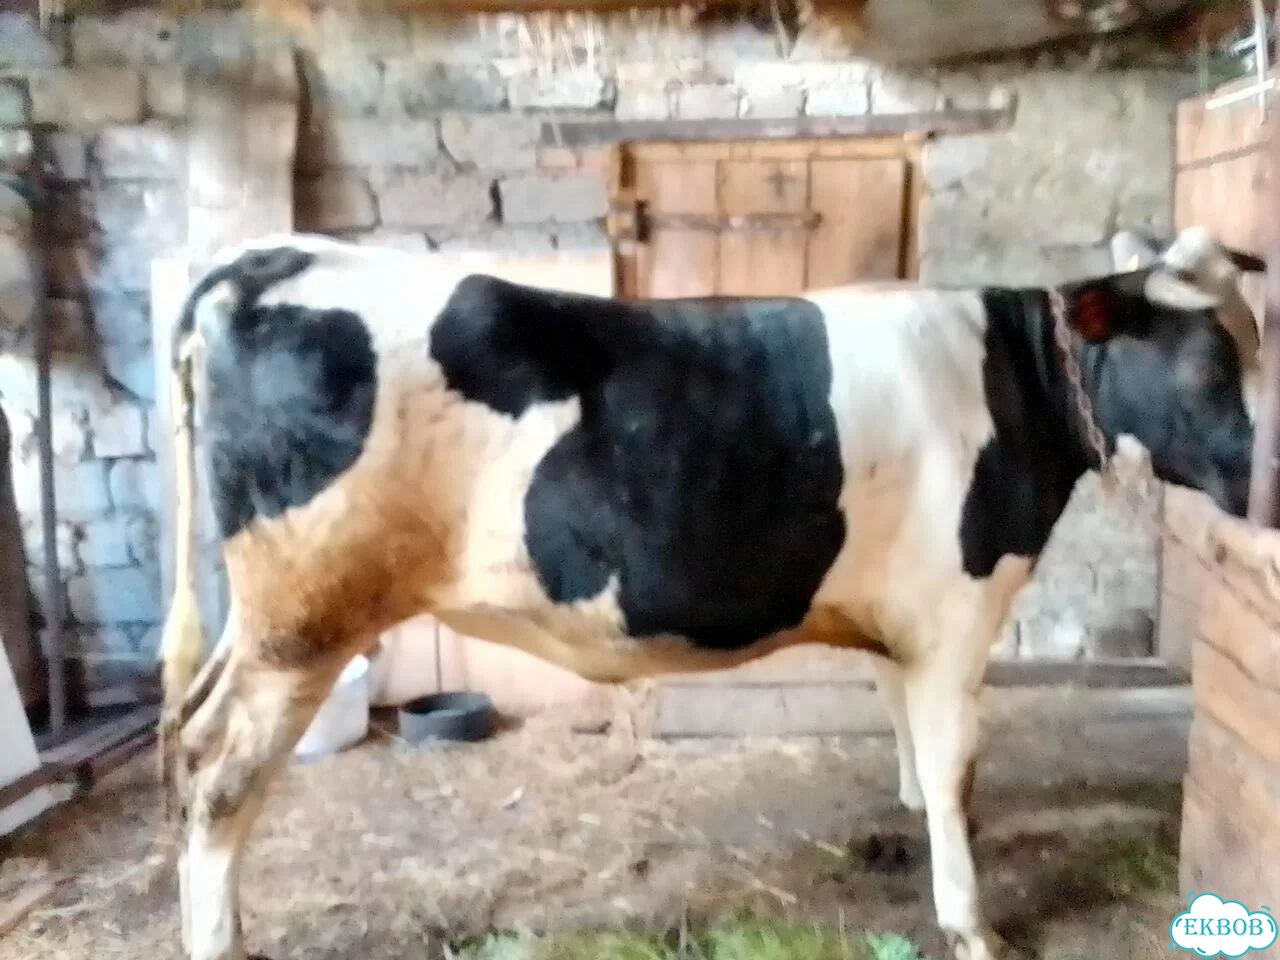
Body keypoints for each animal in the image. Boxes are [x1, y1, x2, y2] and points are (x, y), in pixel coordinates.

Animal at [159, 225, 1263, 960]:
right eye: (1210, 365)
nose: (1268, 487)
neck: (1013, 381)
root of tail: (265, 257)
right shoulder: (958, 607)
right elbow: (955, 764)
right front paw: (970, 918)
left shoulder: (903, 618)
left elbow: (908, 732)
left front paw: (914, 819)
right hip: (304, 619)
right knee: (219, 773)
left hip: (261, 622)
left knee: (190, 726)